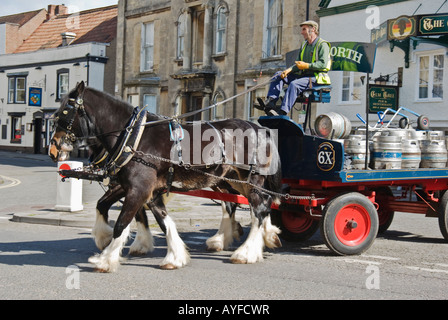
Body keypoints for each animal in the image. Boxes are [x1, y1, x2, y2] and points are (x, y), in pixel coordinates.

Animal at [49, 81, 280, 272]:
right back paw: (243, 238)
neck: (133, 137)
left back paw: (247, 252)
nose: (53, 148)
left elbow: (121, 223)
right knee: (248, 204)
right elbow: (162, 221)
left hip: (251, 179)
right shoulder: (147, 190)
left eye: (65, 111)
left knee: (259, 208)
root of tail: (259, 128)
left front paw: (105, 259)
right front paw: (174, 256)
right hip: (231, 180)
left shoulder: (138, 189)